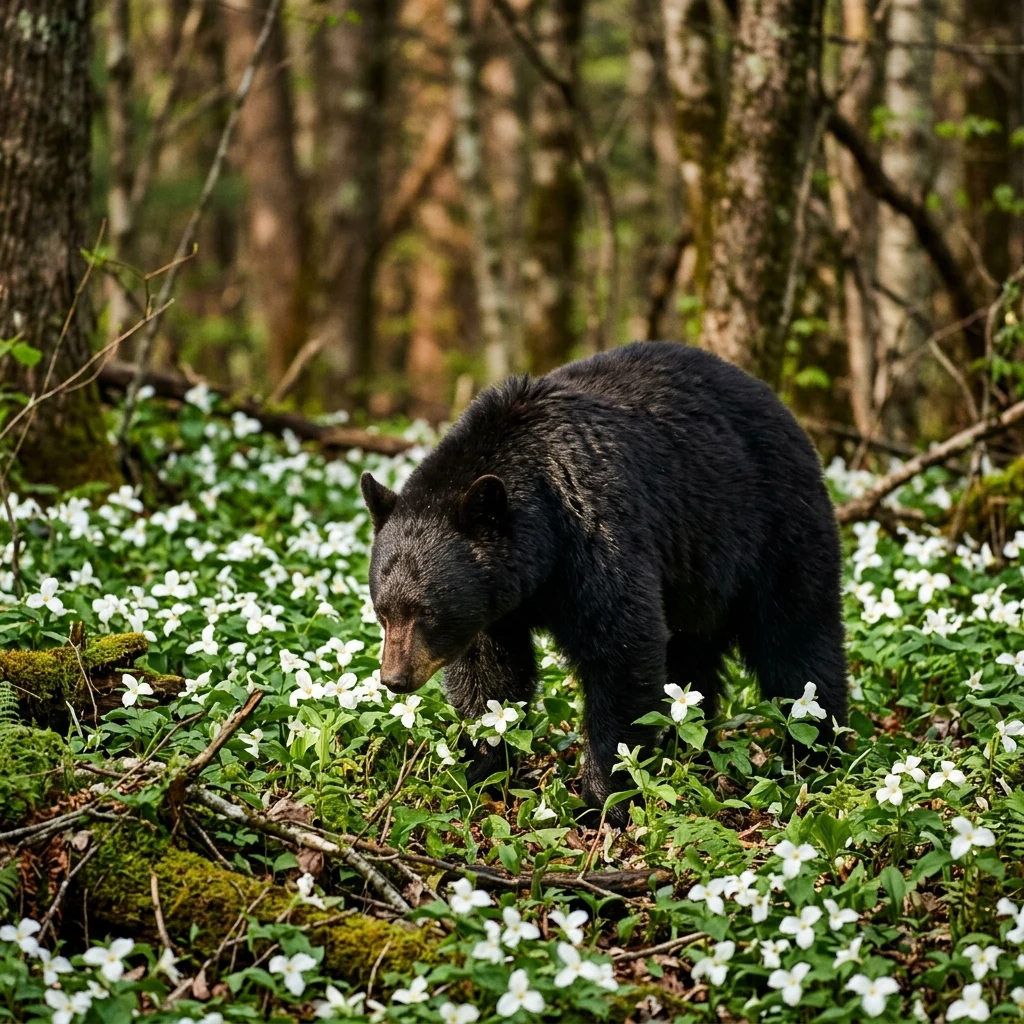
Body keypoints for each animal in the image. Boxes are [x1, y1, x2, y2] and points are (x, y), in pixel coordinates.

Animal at [361, 341, 847, 825]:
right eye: (383, 611)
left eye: (427, 611)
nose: (394, 678)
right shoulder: (495, 602)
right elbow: (490, 676)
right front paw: (479, 767)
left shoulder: (595, 532)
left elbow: (621, 646)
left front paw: (602, 799)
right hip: (699, 578)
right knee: (692, 659)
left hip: (775, 526)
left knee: (797, 639)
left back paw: (816, 754)